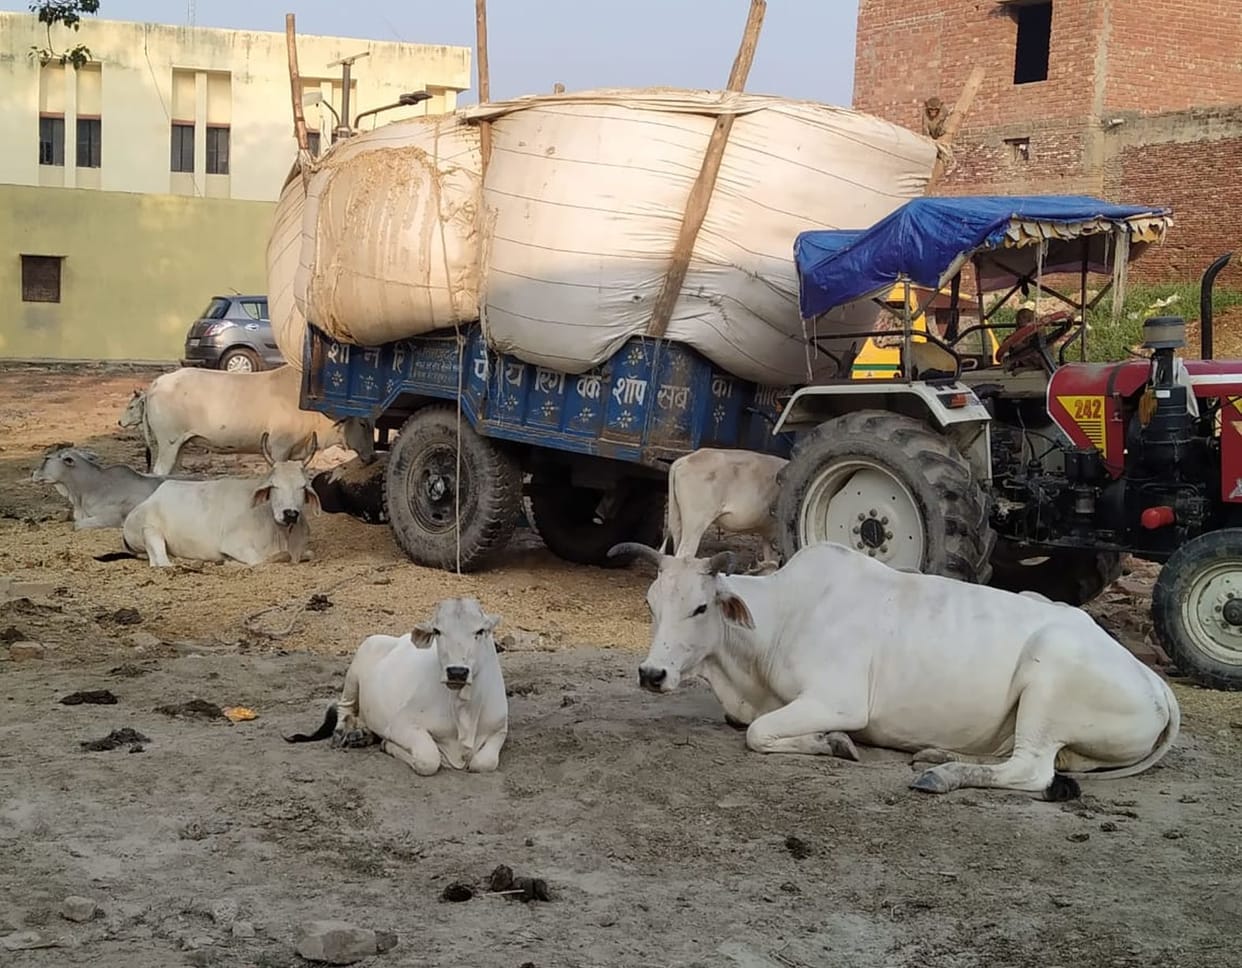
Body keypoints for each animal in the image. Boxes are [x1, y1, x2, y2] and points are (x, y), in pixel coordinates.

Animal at [106, 432, 320, 567]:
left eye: (303, 486)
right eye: (274, 486)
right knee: (160, 562)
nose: (290, 514)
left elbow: (308, 555)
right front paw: (228, 562)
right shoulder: (234, 544)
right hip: (150, 532)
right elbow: (264, 560)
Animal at [139, 364, 374, 475]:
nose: (372, 457)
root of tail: (157, 383)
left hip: (179, 445)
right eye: (363, 423)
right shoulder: (279, 447)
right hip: (168, 442)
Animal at [283, 597, 509, 776]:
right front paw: (389, 746)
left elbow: (484, 762)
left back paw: (362, 735)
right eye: (437, 631)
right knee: (343, 706)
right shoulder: (401, 724)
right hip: (355, 671)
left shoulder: (500, 729)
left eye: (480, 631)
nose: (457, 672)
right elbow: (428, 759)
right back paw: (343, 733)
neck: (464, 710)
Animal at [609, 540, 1181, 801]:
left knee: (1032, 769)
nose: (652, 674)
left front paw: (833, 743)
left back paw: (942, 774)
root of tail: (1157, 683)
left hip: (1049, 676)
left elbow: (758, 732)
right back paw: (939, 753)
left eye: (700, 607)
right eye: (651, 604)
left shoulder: (838, 699)